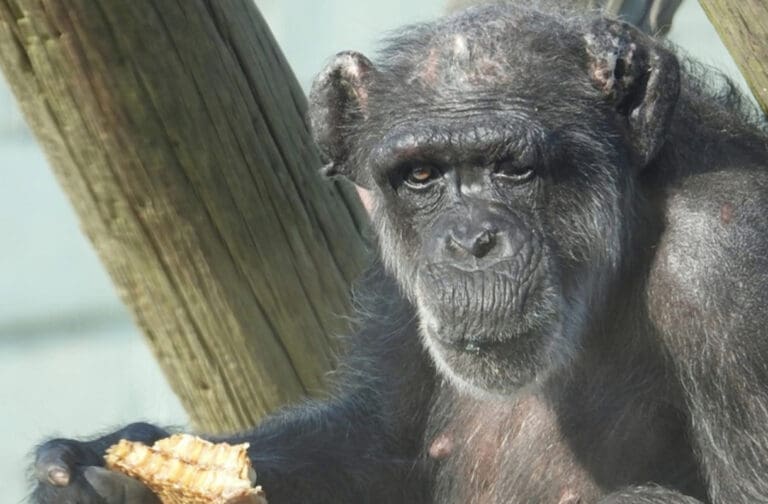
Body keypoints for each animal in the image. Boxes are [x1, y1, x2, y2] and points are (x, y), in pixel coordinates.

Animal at [29, 3, 768, 503]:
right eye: (421, 176)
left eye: (514, 169)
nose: (470, 242)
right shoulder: (392, 280)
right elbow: (377, 446)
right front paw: (90, 470)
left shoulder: (728, 268)